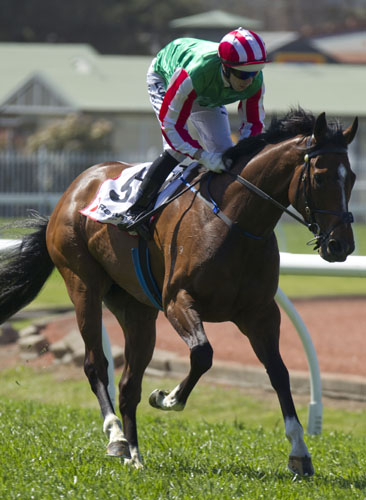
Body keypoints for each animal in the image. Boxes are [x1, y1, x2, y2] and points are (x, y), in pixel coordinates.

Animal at [0, 108, 358, 476]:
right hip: (82, 284)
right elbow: (203, 354)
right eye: (320, 177)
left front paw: (300, 450)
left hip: (136, 310)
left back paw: (135, 455)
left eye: (352, 178)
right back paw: (116, 436)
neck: (235, 221)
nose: (341, 245)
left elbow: (279, 372)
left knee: (128, 384)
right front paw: (167, 398)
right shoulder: (177, 302)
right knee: (95, 364)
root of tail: (73, 190)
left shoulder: (260, 313)